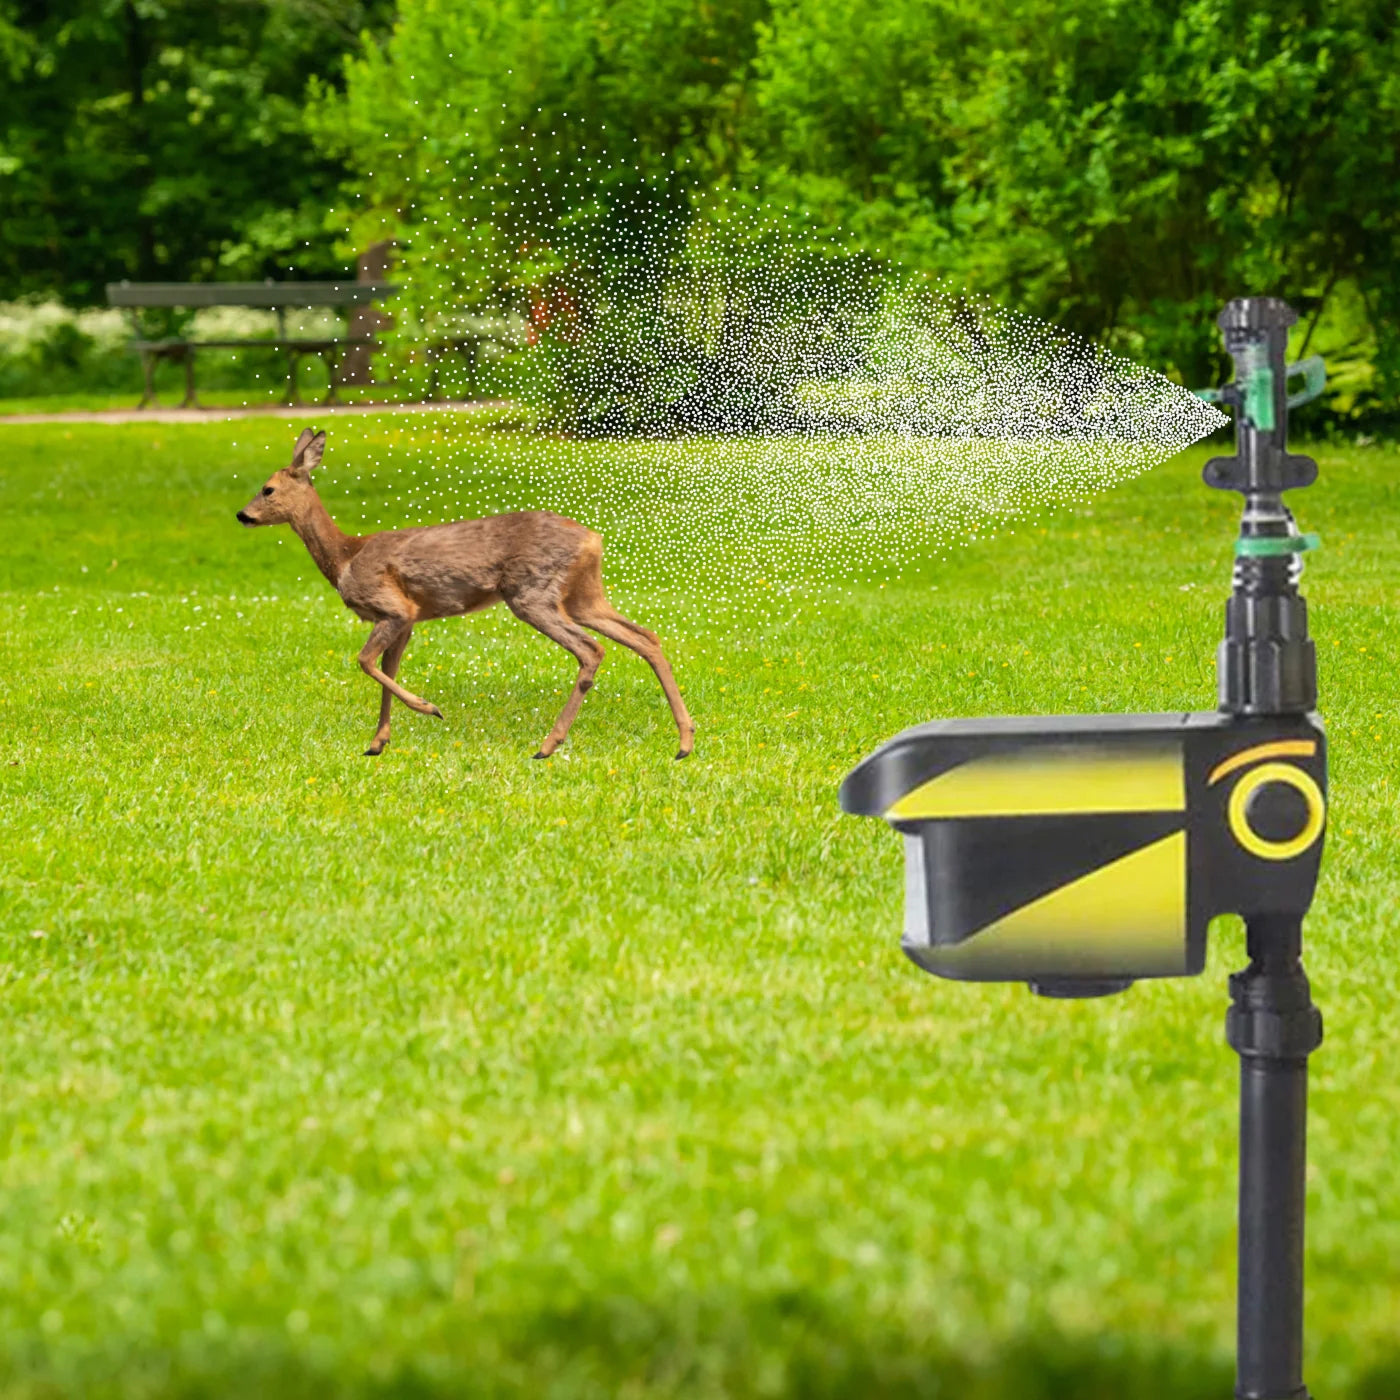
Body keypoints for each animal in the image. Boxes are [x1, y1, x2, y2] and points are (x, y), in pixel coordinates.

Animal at [236, 427, 695, 760]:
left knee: (592, 649)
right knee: (646, 637)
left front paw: (429, 708)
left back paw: (547, 746)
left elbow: (365, 662)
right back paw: (684, 742)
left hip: (532, 593)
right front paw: (377, 742)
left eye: (268, 489)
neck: (345, 556)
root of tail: (593, 540)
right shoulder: (408, 620)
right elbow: (387, 670)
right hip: (583, 596)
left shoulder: (393, 607)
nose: (242, 515)